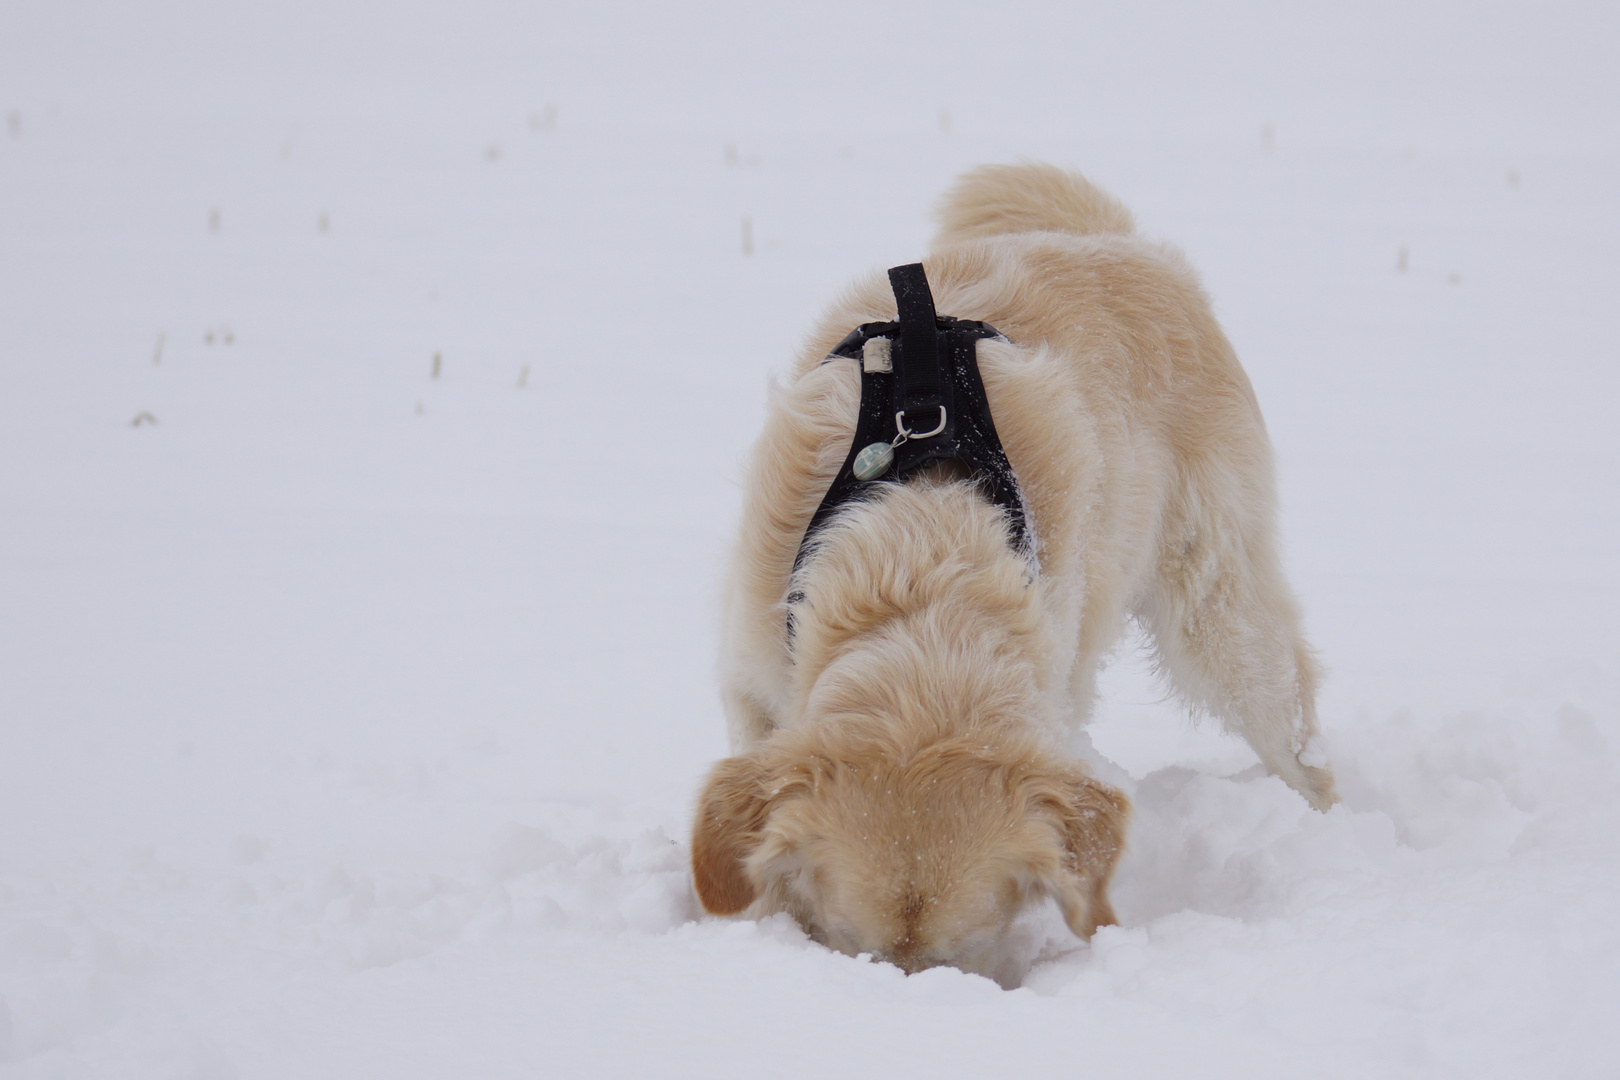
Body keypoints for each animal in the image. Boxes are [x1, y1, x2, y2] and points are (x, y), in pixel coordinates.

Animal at [690, 162, 1334, 977]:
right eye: (850, 945)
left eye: (969, 952)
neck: (917, 573)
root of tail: (1120, 244)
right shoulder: (751, 675)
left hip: (1222, 620)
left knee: (1297, 734)